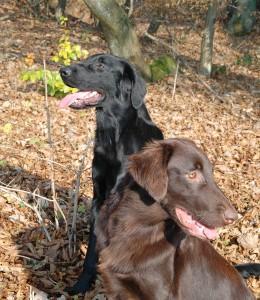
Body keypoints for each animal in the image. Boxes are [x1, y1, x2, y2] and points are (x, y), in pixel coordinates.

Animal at [60, 53, 164, 292]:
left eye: (100, 65)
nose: (62, 70)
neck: (113, 137)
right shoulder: (98, 198)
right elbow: (92, 250)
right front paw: (82, 284)